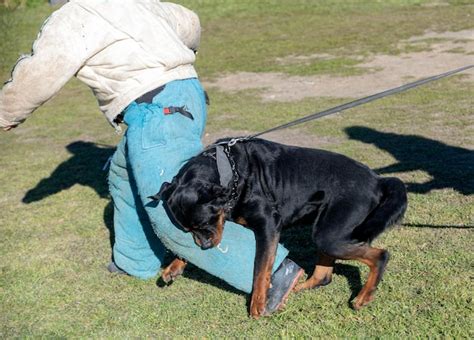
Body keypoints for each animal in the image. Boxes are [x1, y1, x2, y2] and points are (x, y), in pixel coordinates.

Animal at [152, 137, 408, 318]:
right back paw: (299, 287)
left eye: (205, 223)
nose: (205, 246)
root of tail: (378, 180)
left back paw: (363, 297)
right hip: (326, 229)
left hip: (332, 233)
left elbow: (260, 268)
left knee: (380, 255)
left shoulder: (267, 224)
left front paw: (257, 303)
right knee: (324, 275)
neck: (230, 172)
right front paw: (174, 266)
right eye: (188, 229)